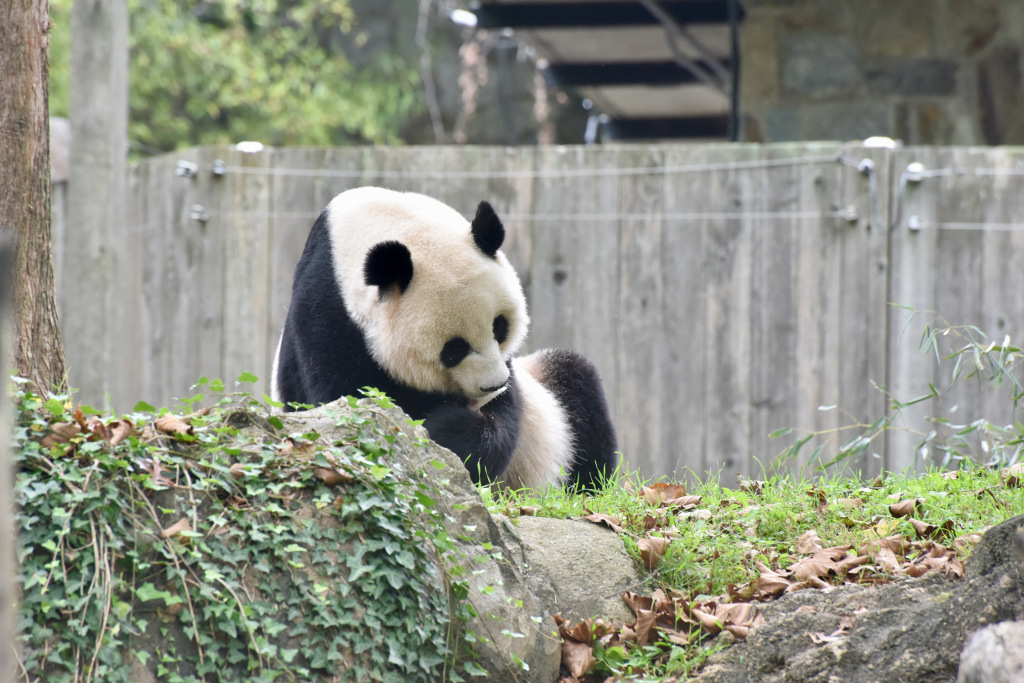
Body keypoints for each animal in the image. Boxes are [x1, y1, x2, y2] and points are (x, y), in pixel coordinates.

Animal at [270, 185, 614, 491]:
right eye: (454, 349)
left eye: (499, 327)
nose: (493, 385)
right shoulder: (326, 318)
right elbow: (348, 400)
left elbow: (502, 426)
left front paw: (446, 427)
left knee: (578, 391)